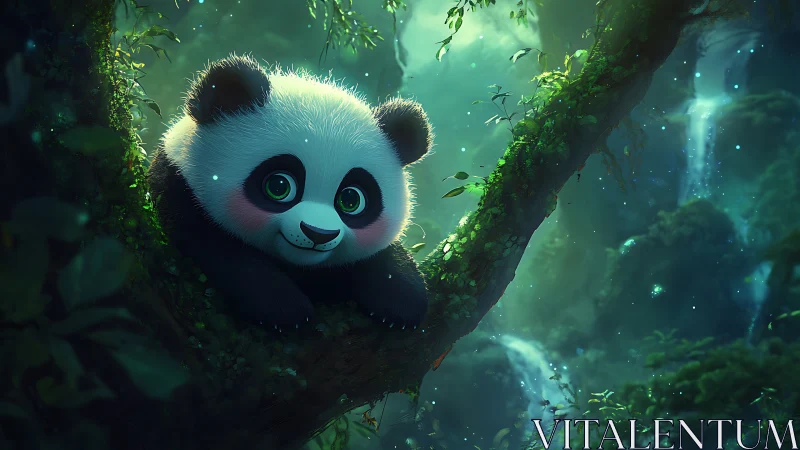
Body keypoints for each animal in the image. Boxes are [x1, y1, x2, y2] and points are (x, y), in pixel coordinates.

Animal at [147, 54, 433, 330]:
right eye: (279, 186)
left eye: (351, 200)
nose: (318, 233)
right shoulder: (179, 190)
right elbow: (218, 249)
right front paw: (283, 310)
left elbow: (380, 258)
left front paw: (402, 299)